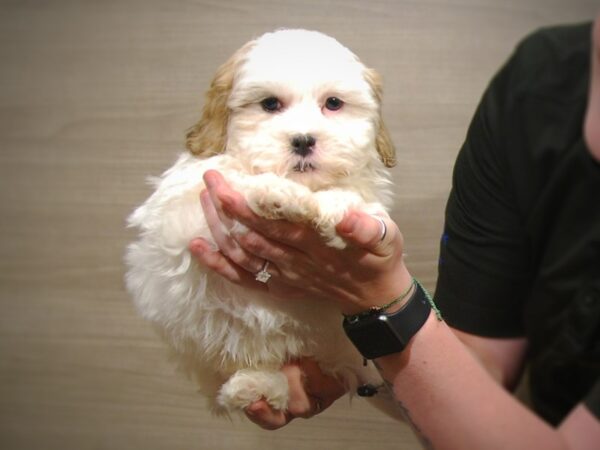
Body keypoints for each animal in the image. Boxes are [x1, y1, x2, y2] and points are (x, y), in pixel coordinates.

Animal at [125, 29, 396, 416]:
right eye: (269, 104)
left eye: (333, 103)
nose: (303, 140)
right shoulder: (184, 213)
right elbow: (232, 181)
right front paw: (279, 194)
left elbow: (356, 198)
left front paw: (338, 206)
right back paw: (253, 387)